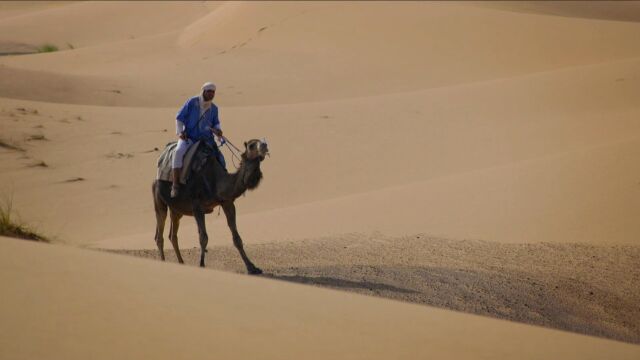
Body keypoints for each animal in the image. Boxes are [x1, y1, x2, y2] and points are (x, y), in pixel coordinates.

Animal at [152, 139, 268, 274]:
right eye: (251, 145)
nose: (265, 145)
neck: (217, 182)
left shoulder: (227, 203)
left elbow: (237, 239)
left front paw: (252, 267)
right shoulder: (197, 206)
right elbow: (203, 237)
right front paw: (201, 264)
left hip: (176, 210)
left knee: (172, 235)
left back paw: (181, 263)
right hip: (159, 202)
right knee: (160, 235)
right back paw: (163, 263)